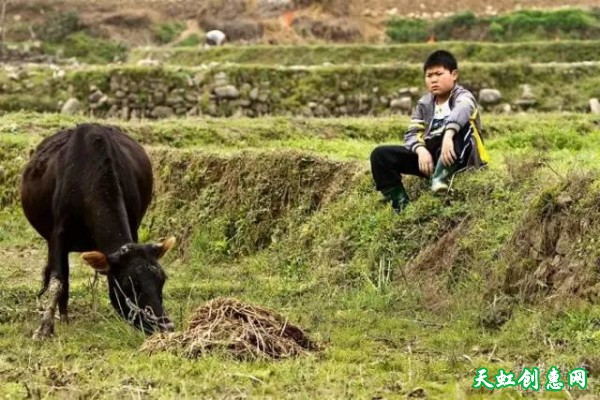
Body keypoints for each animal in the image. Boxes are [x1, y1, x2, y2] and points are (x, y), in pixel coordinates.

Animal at [21, 123, 176, 340]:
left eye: (162, 280)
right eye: (128, 284)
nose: (165, 327)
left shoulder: (134, 226)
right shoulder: (57, 236)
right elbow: (57, 281)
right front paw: (44, 329)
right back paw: (64, 318)